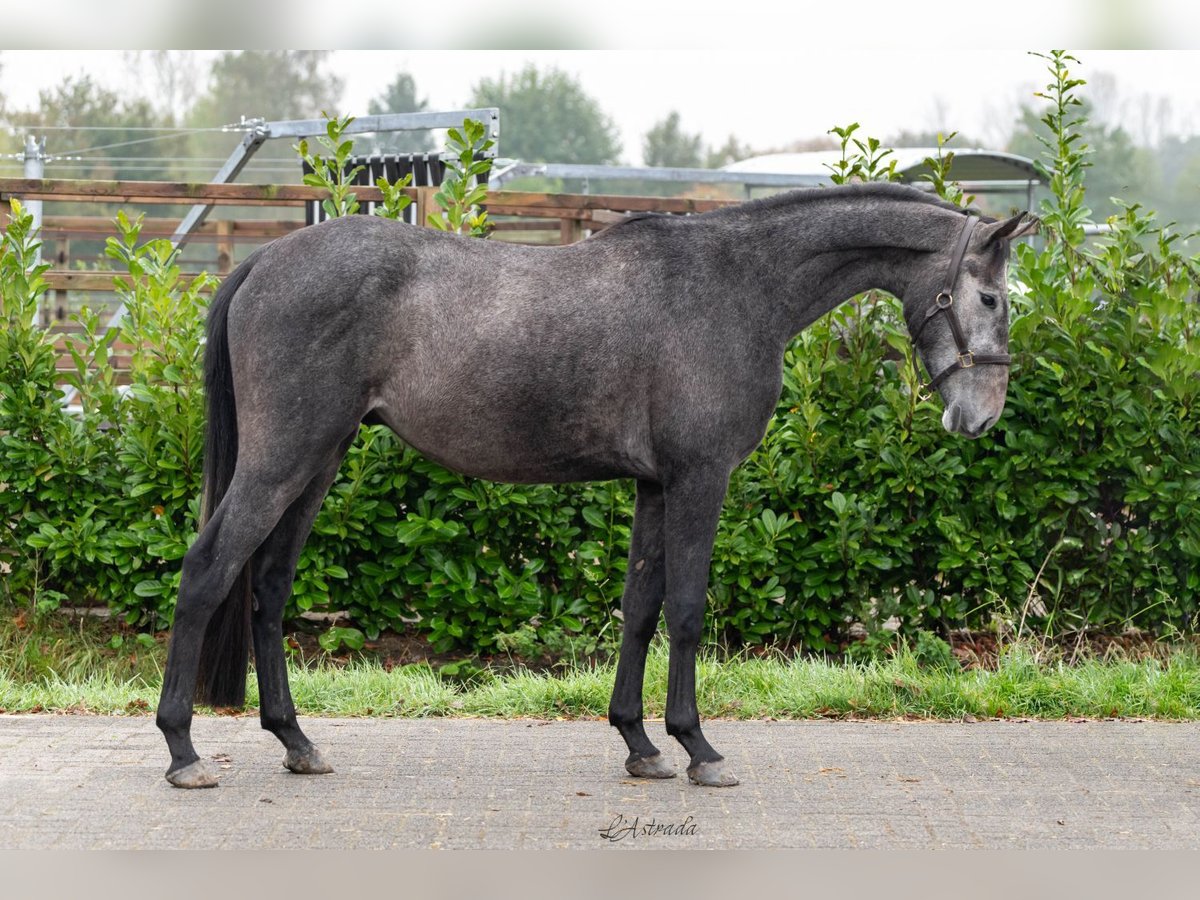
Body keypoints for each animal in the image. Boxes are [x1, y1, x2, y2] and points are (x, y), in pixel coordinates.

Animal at [154, 183, 1036, 787]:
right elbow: (686, 611)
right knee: (206, 571)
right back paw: (183, 749)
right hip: (284, 458)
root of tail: (265, 261)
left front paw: (640, 743)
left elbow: (640, 610)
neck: (738, 286)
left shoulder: (655, 486)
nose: (981, 416)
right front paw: (699, 747)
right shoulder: (699, 479)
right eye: (991, 296)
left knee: (268, 584)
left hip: (318, 460)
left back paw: (296, 741)